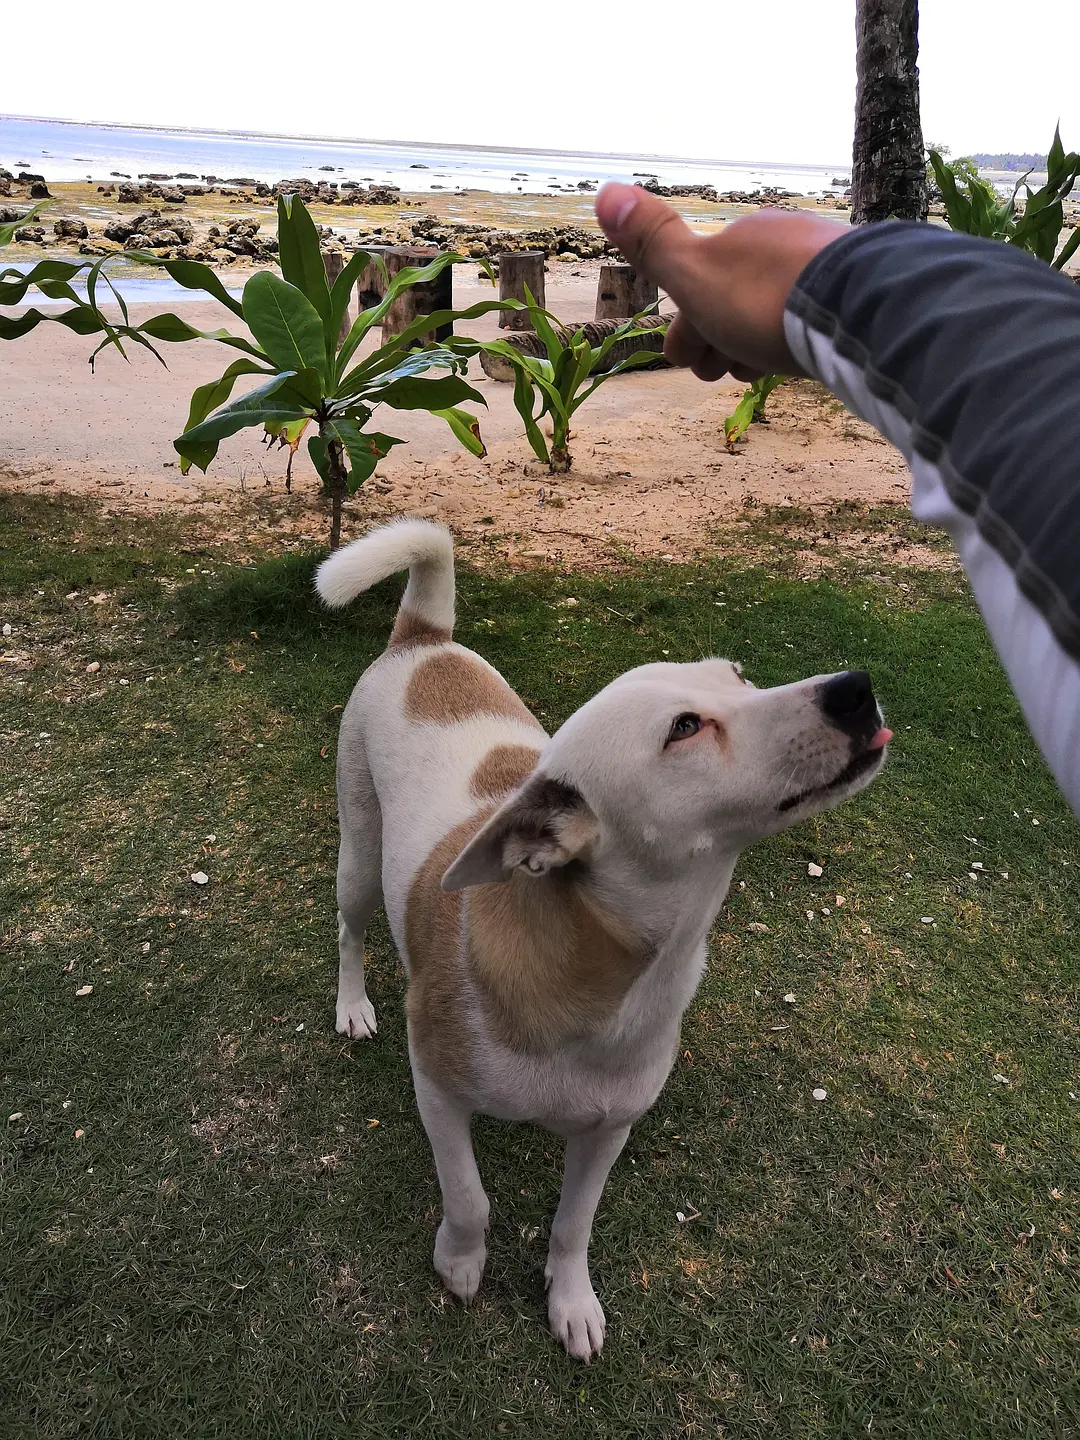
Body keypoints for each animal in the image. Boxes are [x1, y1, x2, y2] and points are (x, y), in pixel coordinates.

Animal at [316, 521, 892, 1359]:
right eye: (684, 728)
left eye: (740, 678)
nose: (856, 686)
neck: (604, 977)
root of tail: (425, 642)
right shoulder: (438, 1088)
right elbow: (470, 1196)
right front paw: (461, 1262)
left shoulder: (608, 1128)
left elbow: (573, 1223)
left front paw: (571, 1299)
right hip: (358, 854)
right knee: (350, 928)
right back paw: (353, 1003)